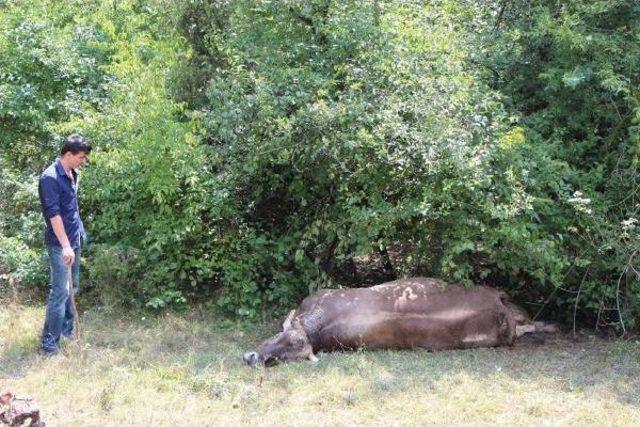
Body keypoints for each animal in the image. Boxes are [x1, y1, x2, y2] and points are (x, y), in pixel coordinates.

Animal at [245, 278, 556, 368]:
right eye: (281, 345)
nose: (255, 358)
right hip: (511, 319)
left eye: (292, 345)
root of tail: (497, 298)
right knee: (528, 324)